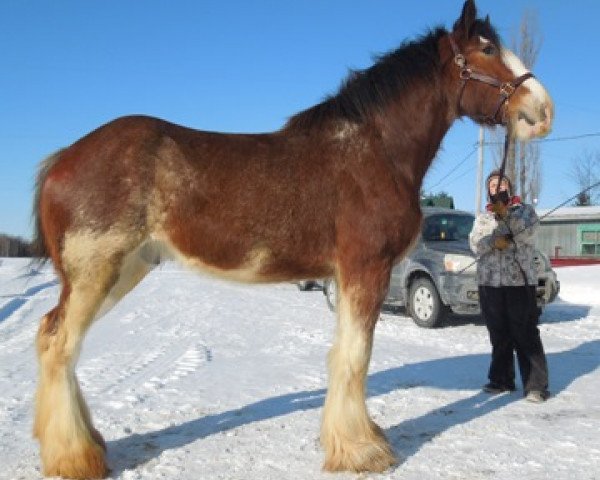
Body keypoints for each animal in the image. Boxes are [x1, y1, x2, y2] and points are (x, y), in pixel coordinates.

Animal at [30, 1, 552, 478]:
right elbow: (354, 357)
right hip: (97, 273)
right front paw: (361, 451)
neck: (373, 151)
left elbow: (345, 354)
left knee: (57, 340)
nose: (542, 110)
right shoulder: (366, 268)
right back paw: (74, 458)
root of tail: (63, 159)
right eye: (487, 49)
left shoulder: (347, 277)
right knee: (59, 344)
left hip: (126, 269)